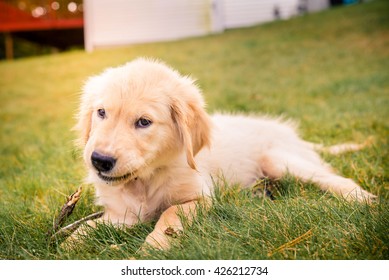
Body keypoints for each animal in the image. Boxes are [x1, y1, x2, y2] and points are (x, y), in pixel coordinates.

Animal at [74, 57, 374, 249]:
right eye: (101, 112)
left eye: (144, 122)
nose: (99, 160)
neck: (145, 179)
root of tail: (292, 135)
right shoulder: (121, 215)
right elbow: (83, 229)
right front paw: (67, 245)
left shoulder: (201, 198)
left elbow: (169, 213)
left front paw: (152, 249)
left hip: (278, 159)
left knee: (334, 178)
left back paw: (364, 200)